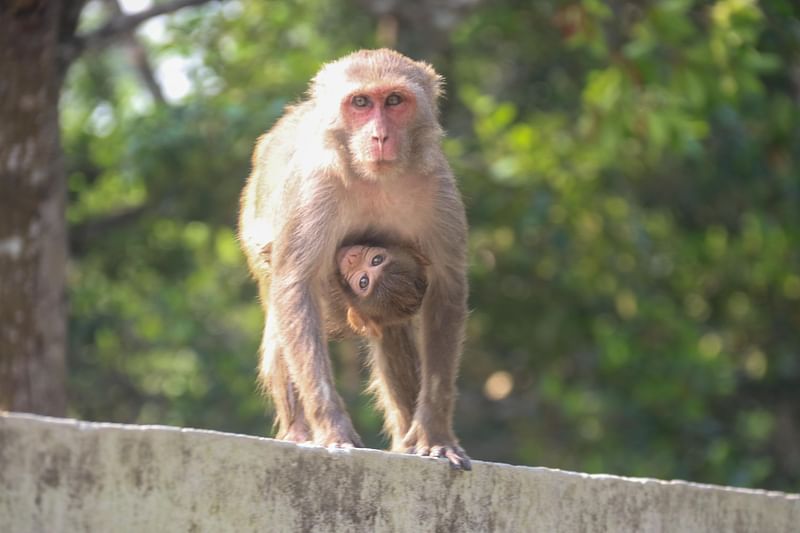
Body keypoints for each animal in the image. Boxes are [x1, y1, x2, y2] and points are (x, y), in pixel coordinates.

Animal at [241, 47, 472, 468]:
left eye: (394, 101)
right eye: (361, 103)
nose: (380, 135)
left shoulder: (437, 187)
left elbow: (446, 288)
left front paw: (434, 434)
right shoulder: (316, 187)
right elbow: (295, 286)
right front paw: (332, 428)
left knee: (392, 330)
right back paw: (298, 431)